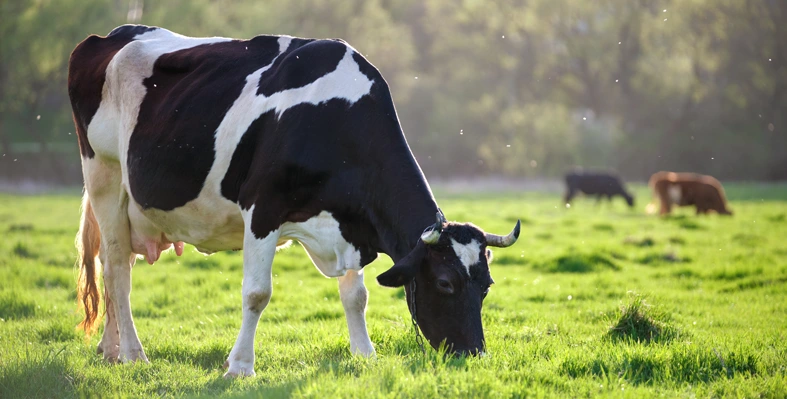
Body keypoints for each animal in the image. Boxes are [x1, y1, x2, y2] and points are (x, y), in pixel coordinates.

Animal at [69, 25, 524, 378]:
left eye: (486, 285)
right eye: (445, 283)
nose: (473, 353)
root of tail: (111, 36)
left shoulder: (349, 224)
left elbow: (356, 296)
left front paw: (365, 354)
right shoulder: (263, 210)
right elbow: (257, 294)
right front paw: (240, 366)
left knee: (116, 264)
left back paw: (109, 350)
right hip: (105, 175)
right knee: (115, 269)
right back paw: (133, 354)